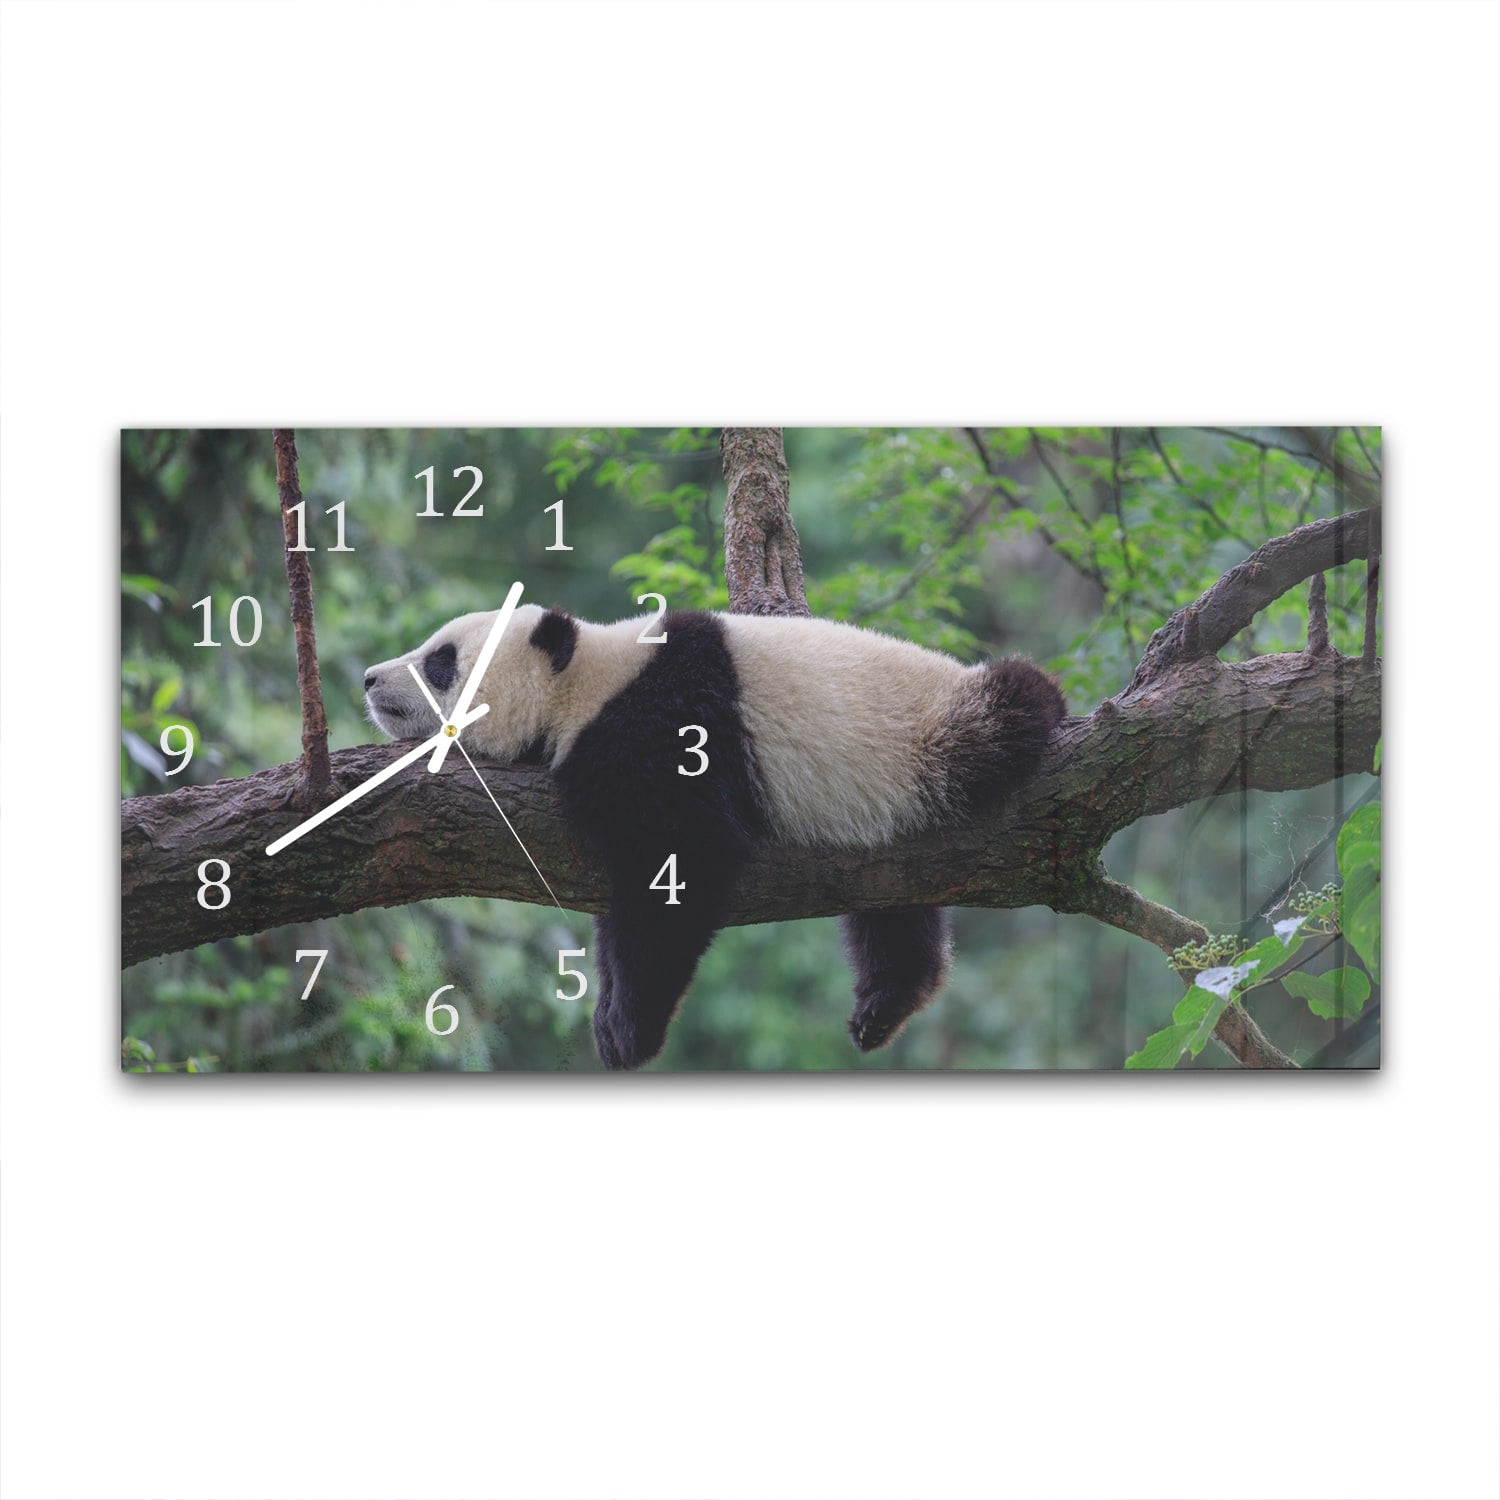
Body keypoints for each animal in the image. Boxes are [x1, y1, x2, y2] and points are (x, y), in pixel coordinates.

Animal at [363, 604, 1065, 1070]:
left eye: (441, 661)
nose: (370, 678)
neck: (587, 681)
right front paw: (608, 1016)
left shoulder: (667, 729)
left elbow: (684, 859)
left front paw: (629, 1030)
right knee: (892, 905)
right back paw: (885, 1003)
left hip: (932, 737)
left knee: (1011, 709)